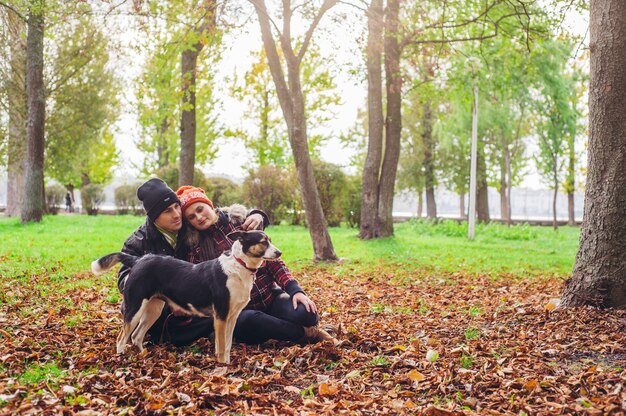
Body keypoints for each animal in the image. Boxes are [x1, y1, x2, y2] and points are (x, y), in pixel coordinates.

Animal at [91, 231, 280, 364]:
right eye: (263, 242)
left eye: (270, 240)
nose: (279, 253)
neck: (239, 266)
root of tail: (138, 260)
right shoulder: (220, 317)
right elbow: (220, 346)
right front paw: (222, 368)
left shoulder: (232, 317)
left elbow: (227, 346)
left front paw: (227, 364)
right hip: (135, 307)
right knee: (122, 337)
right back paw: (121, 358)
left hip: (153, 309)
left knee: (136, 335)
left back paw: (143, 356)